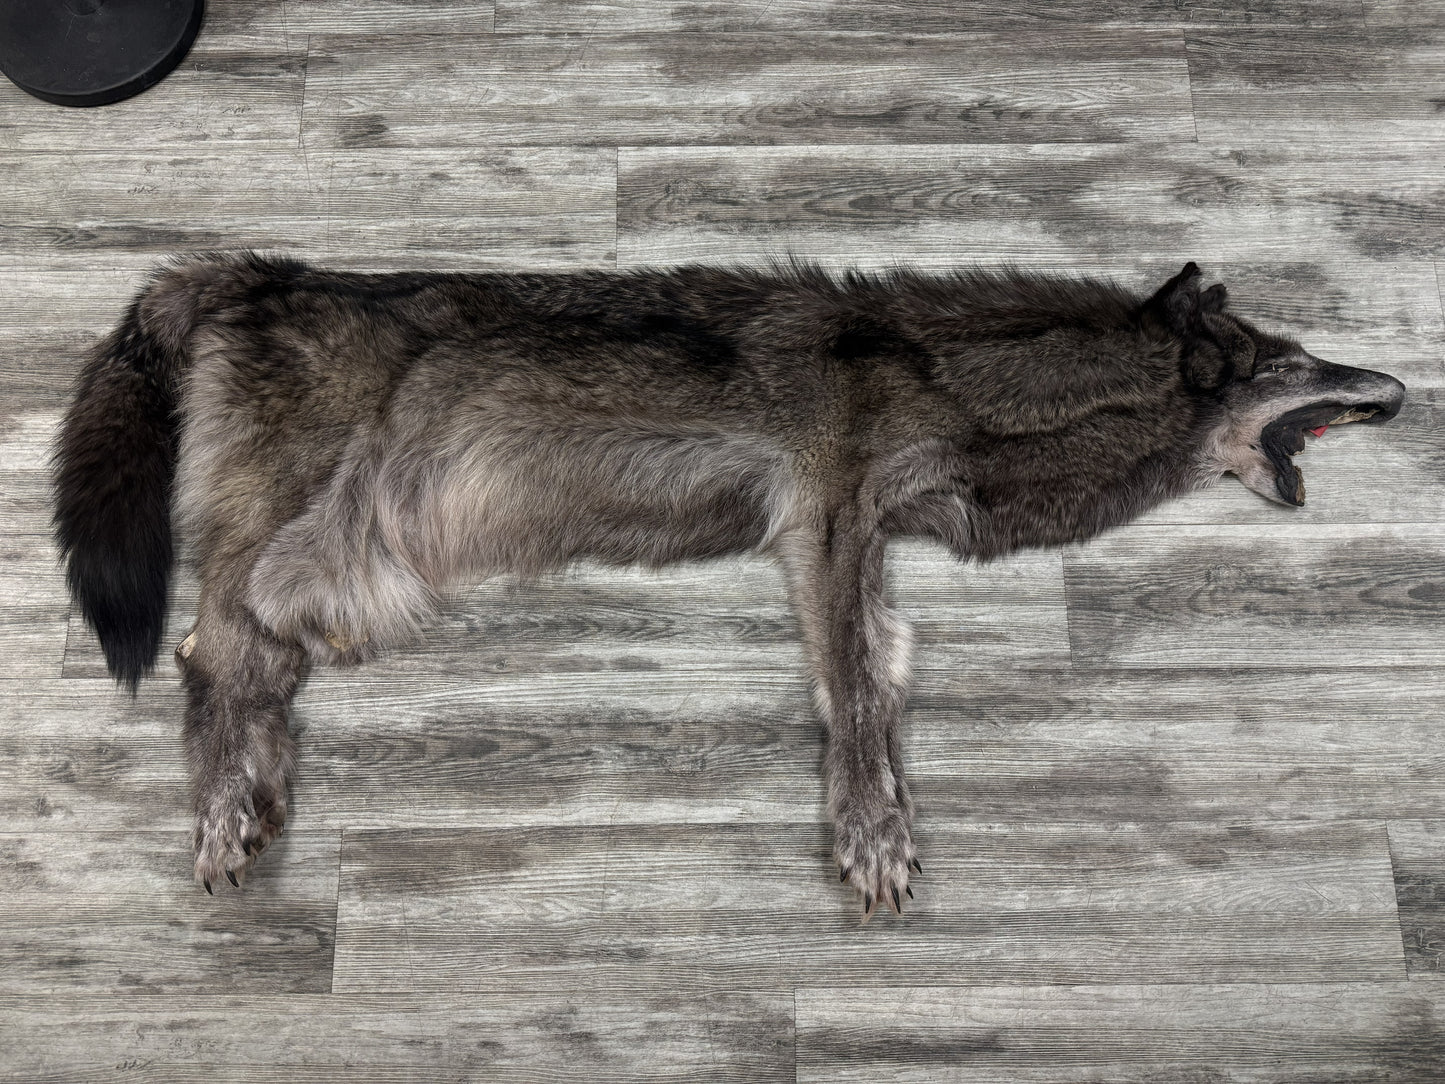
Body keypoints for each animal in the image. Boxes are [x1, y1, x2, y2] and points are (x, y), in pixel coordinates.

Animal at [54, 254, 1406, 916]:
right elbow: (852, 695)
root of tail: (235, 272)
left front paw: (885, 816)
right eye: (1287, 359)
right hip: (318, 539)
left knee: (251, 664)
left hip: (335, 565)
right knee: (207, 654)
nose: (1397, 386)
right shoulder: (825, 516)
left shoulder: (859, 538)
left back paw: (262, 791)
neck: (943, 371)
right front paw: (871, 840)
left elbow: (879, 684)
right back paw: (226, 814)